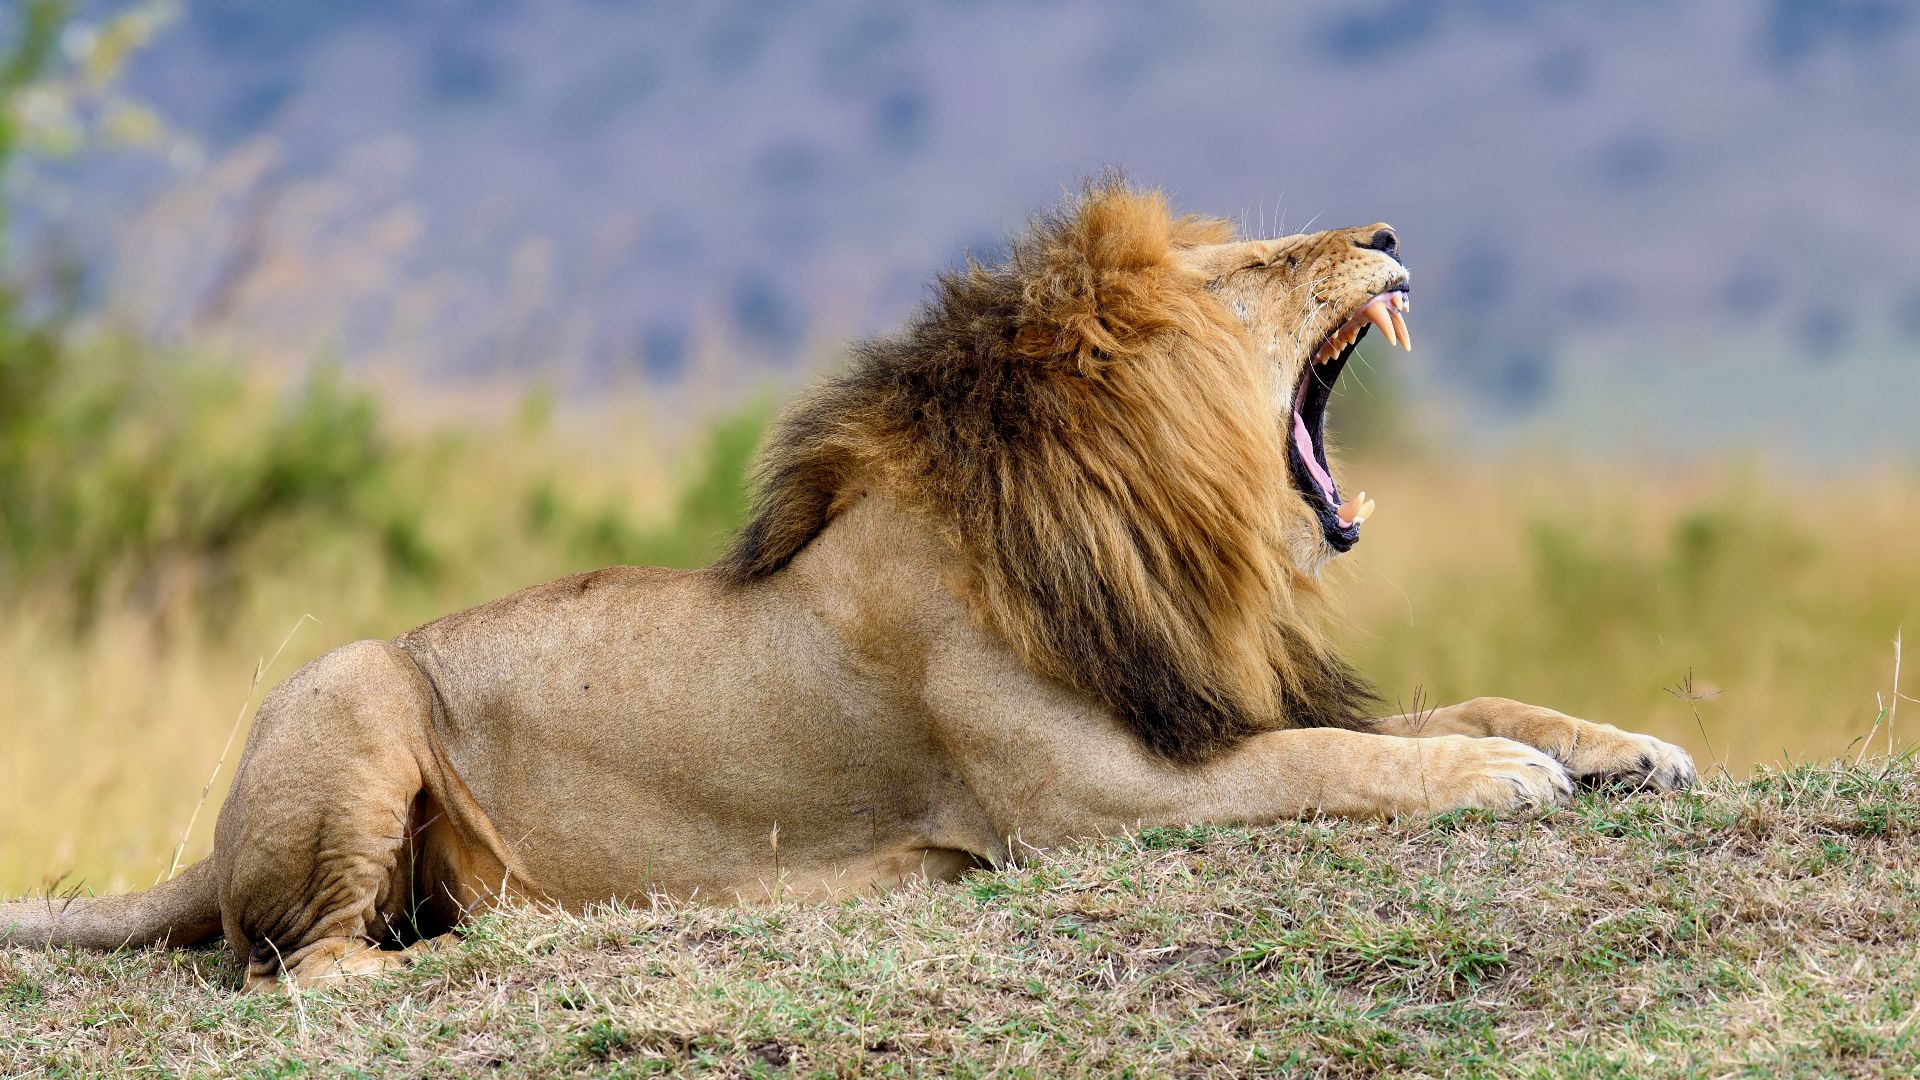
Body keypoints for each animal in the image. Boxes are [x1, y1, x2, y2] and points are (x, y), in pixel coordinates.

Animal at [2, 182, 1695, 989]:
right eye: (1264, 268)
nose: (1390, 230)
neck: (1152, 527)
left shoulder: (1201, 699)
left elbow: (1444, 705)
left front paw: (1619, 746)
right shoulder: (1096, 803)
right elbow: (1340, 761)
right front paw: (1503, 779)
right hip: (353, 677)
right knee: (300, 967)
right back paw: (497, 939)